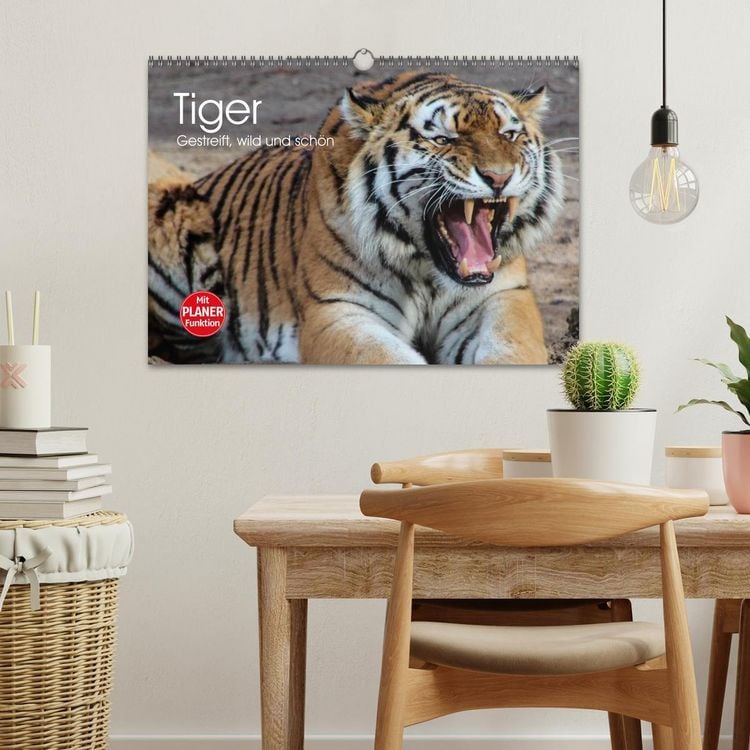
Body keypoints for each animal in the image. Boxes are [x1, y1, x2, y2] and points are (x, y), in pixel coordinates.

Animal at [148, 71, 564, 365]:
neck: (428, 270)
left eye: (509, 135)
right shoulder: (338, 310)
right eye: (442, 139)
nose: (498, 177)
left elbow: (512, 349)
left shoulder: (503, 297)